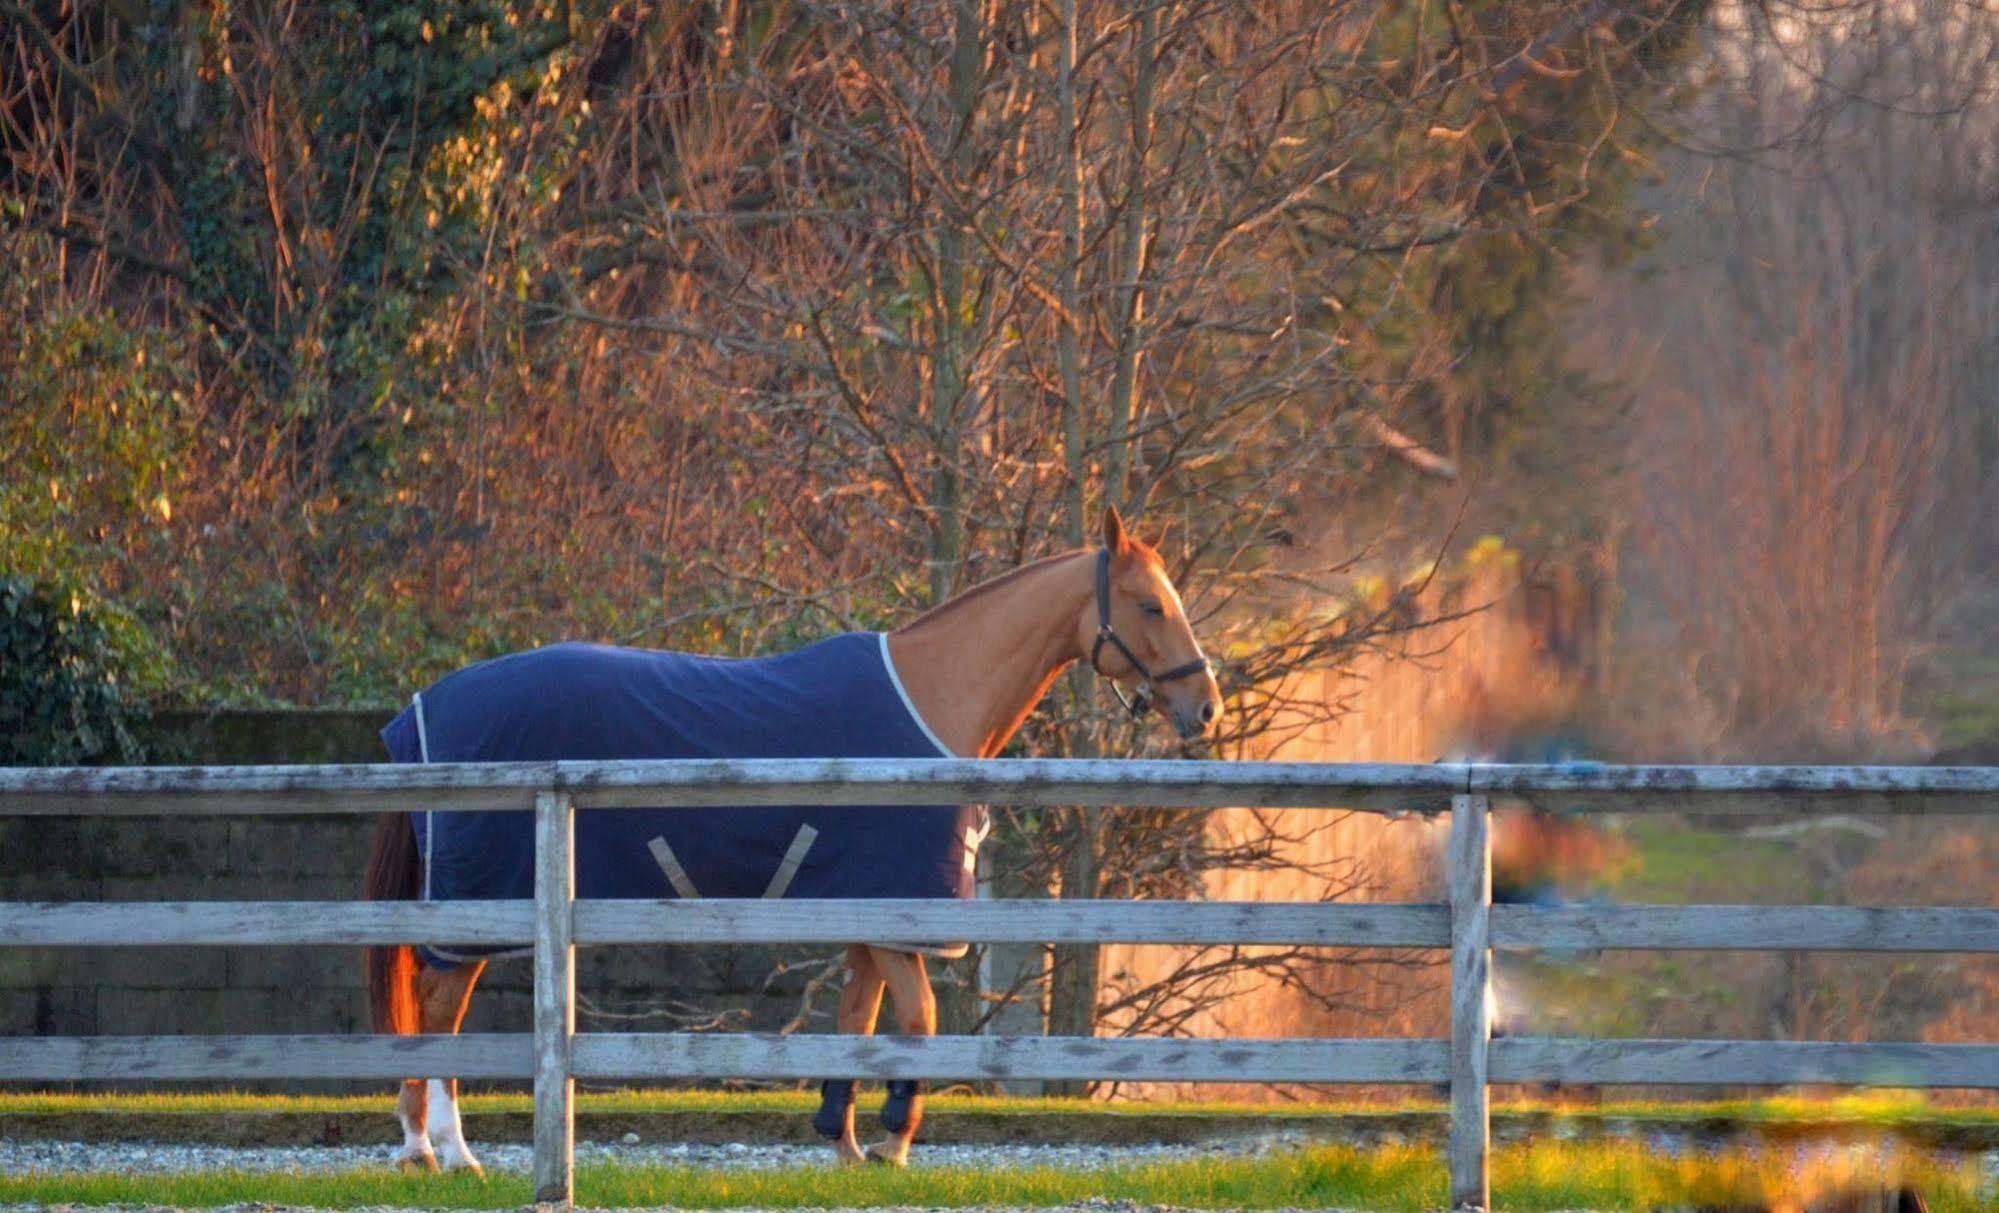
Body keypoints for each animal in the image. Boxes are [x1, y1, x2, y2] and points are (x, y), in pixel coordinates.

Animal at [367, 507, 1223, 1175]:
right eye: (1149, 605)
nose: (1206, 707)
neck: (931, 698)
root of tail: (421, 712)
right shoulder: (898, 911)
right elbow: (918, 1022)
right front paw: (891, 1145)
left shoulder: (866, 916)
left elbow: (856, 1023)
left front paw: (841, 1143)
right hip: (478, 907)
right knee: (439, 1009)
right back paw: (450, 1151)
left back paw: (420, 1145)